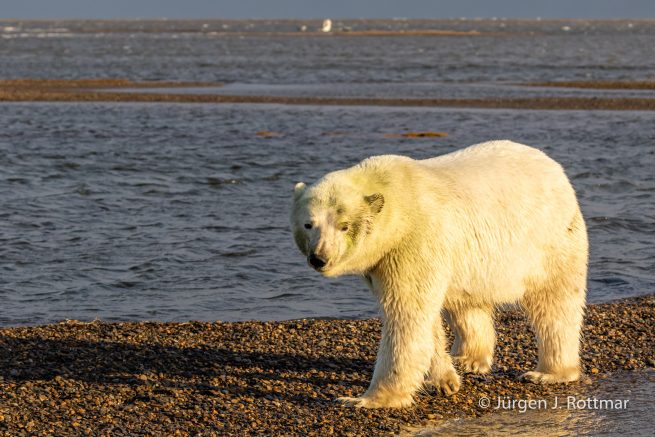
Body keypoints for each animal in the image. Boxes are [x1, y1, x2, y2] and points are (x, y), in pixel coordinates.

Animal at [290, 140, 588, 409]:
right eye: (309, 224)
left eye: (344, 225)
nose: (319, 258)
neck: (400, 203)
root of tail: (553, 167)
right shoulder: (385, 262)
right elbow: (425, 319)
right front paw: (446, 380)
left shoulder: (414, 241)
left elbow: (406, 317)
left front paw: (366, 400)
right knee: (467, 304)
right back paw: (467, 359)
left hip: (550, 240)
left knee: (554, 304)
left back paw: (549, 372)